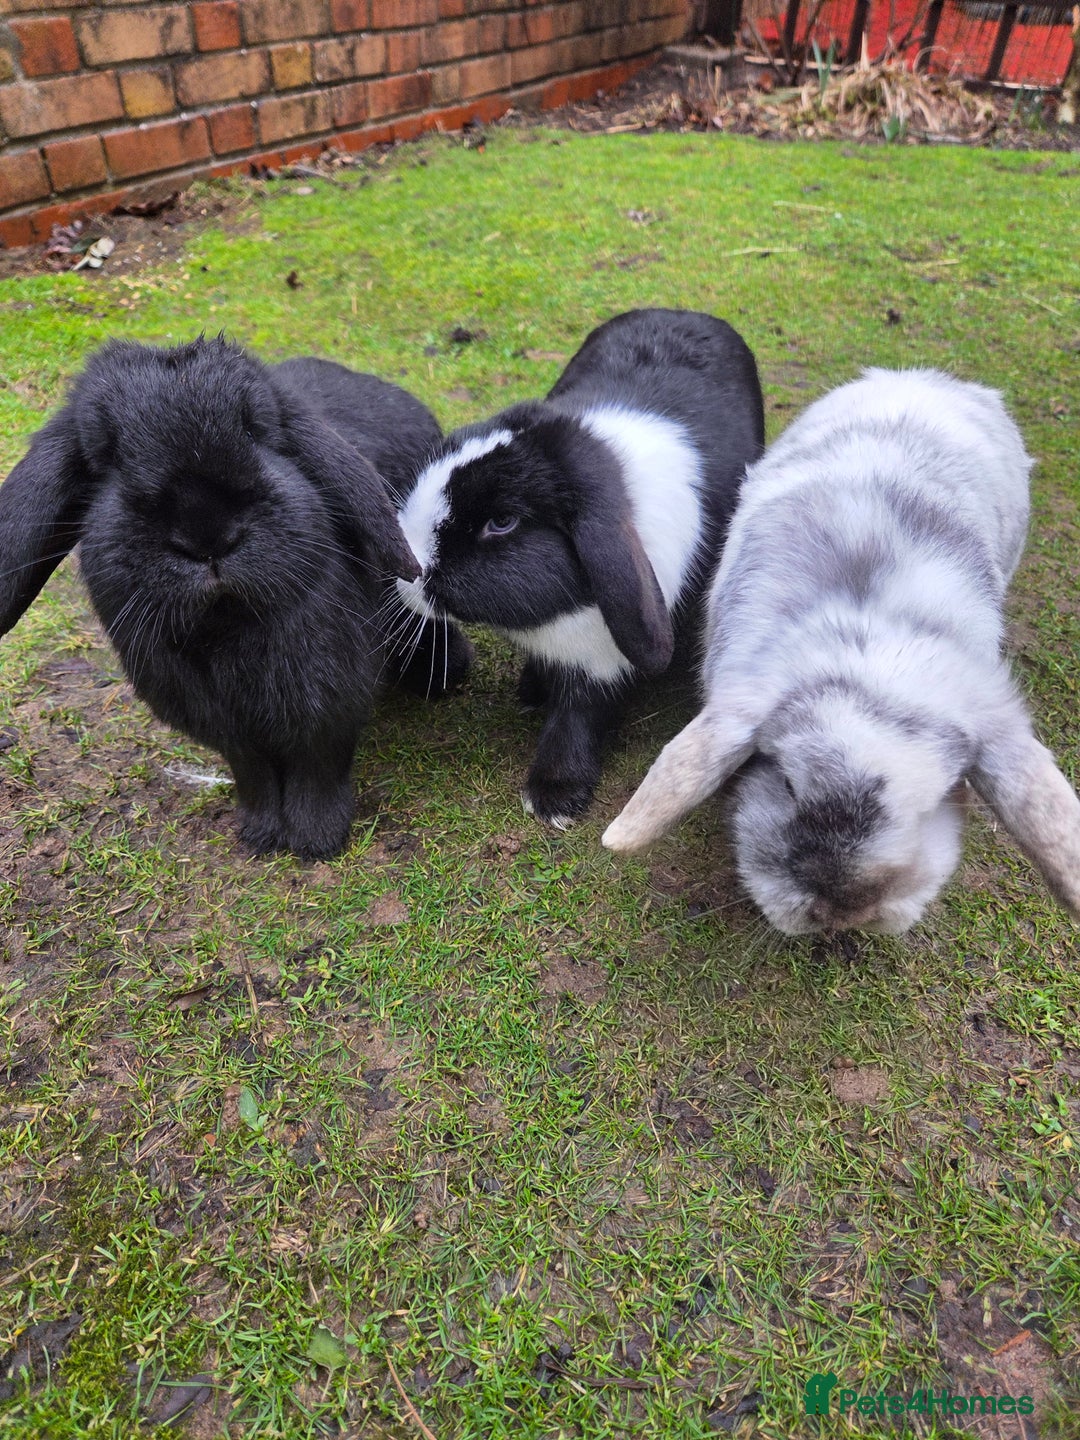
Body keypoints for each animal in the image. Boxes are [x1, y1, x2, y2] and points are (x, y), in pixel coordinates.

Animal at [0, 336, 471, 859]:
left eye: (256, 427)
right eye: (105, 454)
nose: (207, 534)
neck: (228, 625)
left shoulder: (328, 706)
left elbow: (317, 772)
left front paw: (317, 842)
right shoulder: (231, 732)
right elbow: (255, 776)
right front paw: (260, 836)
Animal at [394, 308, 765, 827]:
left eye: (502, 522)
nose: (405, 571)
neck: (554, 618)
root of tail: (685, 313)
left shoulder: (599, 664)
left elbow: (578, 721)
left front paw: (553, 798)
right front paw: (532, 692)